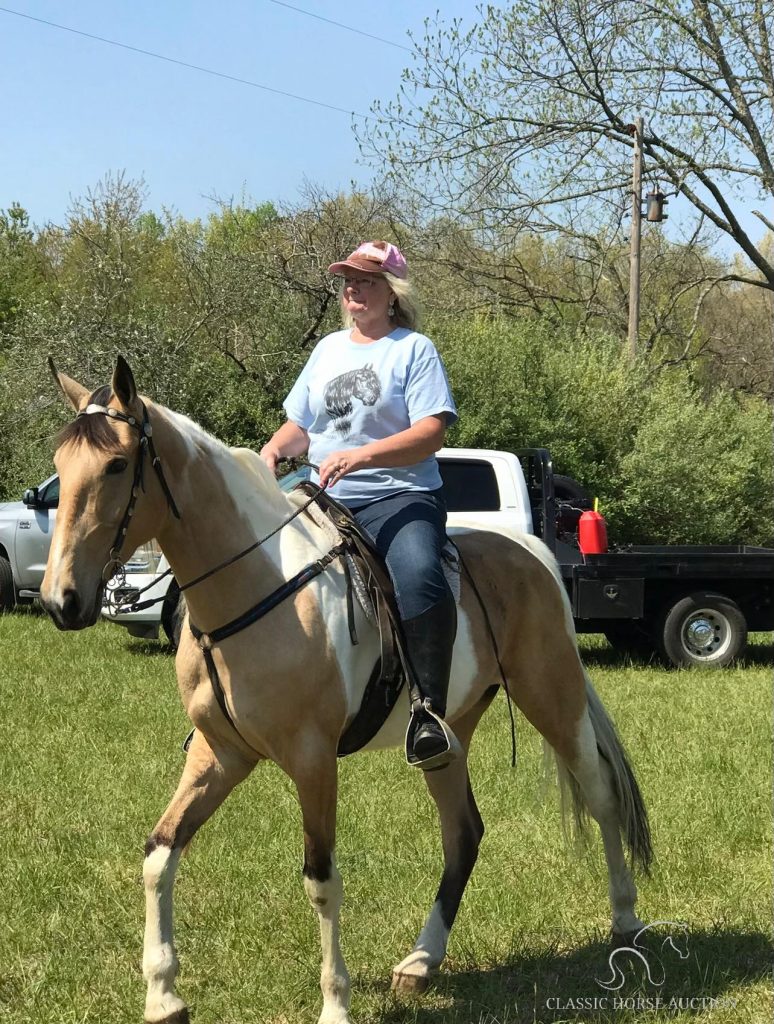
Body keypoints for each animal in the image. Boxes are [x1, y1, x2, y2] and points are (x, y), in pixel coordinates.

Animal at [41, 357, 652, 1024]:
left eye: (116, 465)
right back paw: (421, 962)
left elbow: (320, 878)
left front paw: (335, 1001)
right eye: (60, 465)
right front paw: (163, 994)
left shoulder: (312, 761)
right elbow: (159, 853)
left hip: (554, 699)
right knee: (463, 833)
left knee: (601, 796)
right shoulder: (219, 754)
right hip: (448, 736)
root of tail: (532, 551)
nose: (60, 599)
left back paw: (625, 919)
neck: (258, 588)